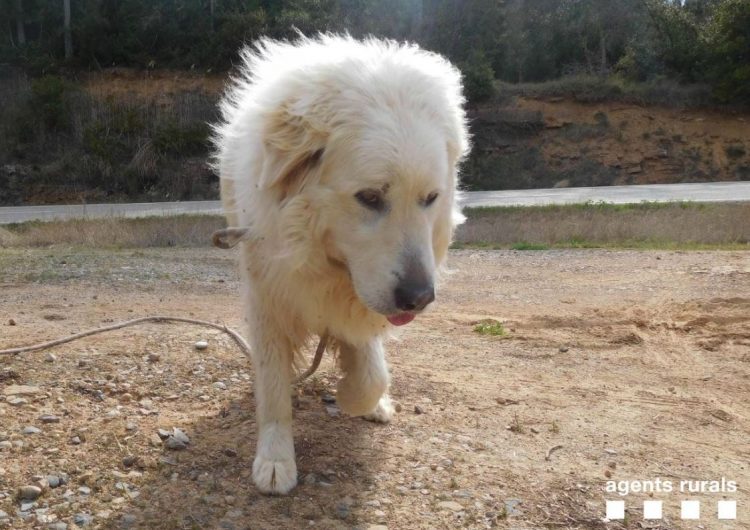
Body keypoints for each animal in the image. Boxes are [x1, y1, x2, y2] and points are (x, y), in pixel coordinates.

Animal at [213, 35, 470, 492]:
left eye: (430, 198)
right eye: (369, 197)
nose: (420, 297)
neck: (318, 255)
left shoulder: (359, 302)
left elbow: (370, 369)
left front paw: (357, 397)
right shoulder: (268, 297)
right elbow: (274, 386)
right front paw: (275, 458)